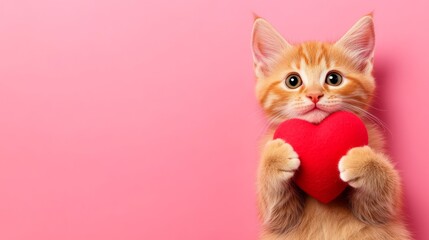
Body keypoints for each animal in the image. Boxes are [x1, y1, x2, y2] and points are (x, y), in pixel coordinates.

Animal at [251, 15, 412, 240]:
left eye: (333, 78)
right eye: (293, 81)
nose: (314, 95)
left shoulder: (381, 214)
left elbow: (382, 202)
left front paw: (363, 161)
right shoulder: (278, 222)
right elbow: (276, 212)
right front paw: (275, 157)